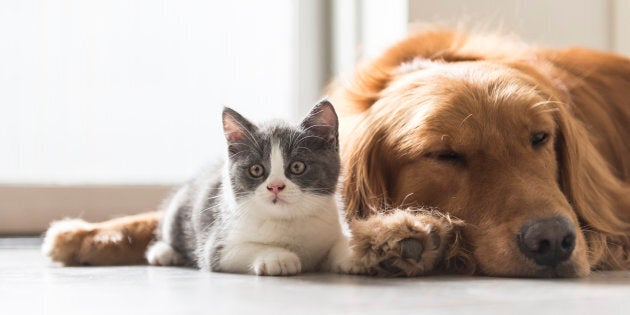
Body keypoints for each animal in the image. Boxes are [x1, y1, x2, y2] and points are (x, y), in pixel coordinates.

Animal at [145, 100, 358, 276]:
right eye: (256, 169)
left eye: (297, 167)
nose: (275, 186)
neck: (287, 220)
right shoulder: (217, 246)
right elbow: (245, 248)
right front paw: (278, 257)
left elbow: (339, 241)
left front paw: (353, 253)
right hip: (179, 209)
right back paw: (162, 253)